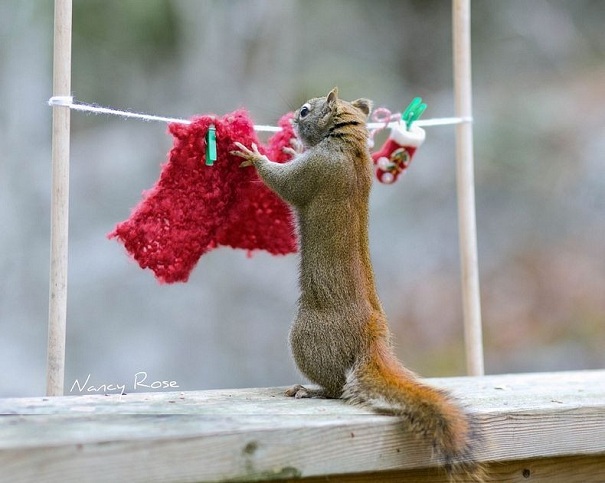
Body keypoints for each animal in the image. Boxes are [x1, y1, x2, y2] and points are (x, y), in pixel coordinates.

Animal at [234, 88, 484, 483]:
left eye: (305, 110)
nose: (289, 120)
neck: (350, 145)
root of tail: (371, 339)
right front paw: (291, 147)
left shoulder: (316, 171)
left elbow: (285, 184)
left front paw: (254, 155)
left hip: (306, 336)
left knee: (337, 387)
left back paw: (311, 390)